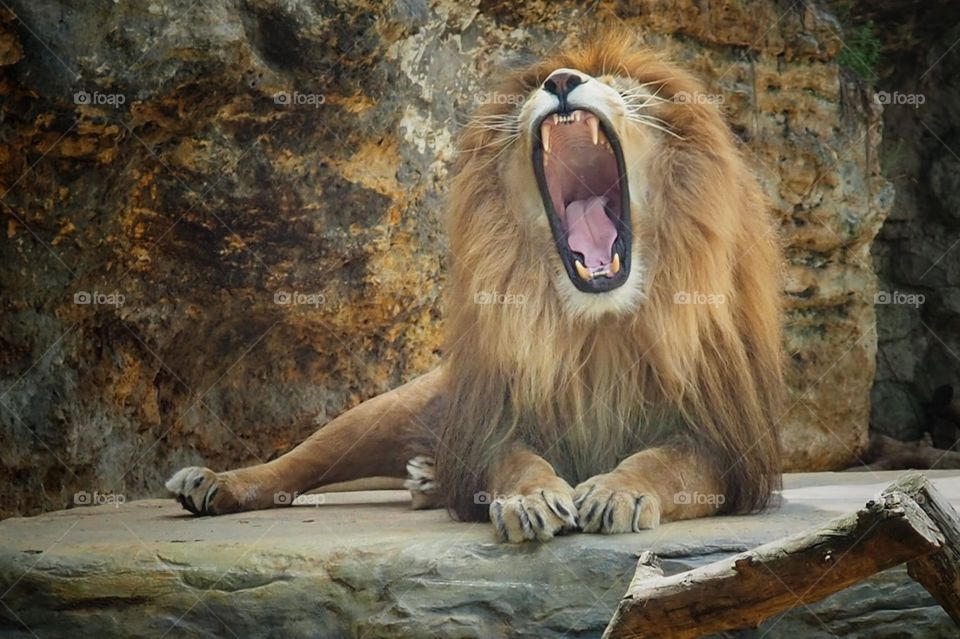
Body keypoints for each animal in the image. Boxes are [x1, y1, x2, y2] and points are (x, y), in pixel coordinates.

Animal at [167, 32, 784, 543]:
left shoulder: (726, 445)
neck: (594, 324)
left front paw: (617, 490)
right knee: (299, 462)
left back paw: (428, 480)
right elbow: (515, 462)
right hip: (393, 408)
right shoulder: (499, 420)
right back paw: (215, 483)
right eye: (538, 87)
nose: (561, 81)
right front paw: (530, 499)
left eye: (624, 88)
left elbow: (668, 462)